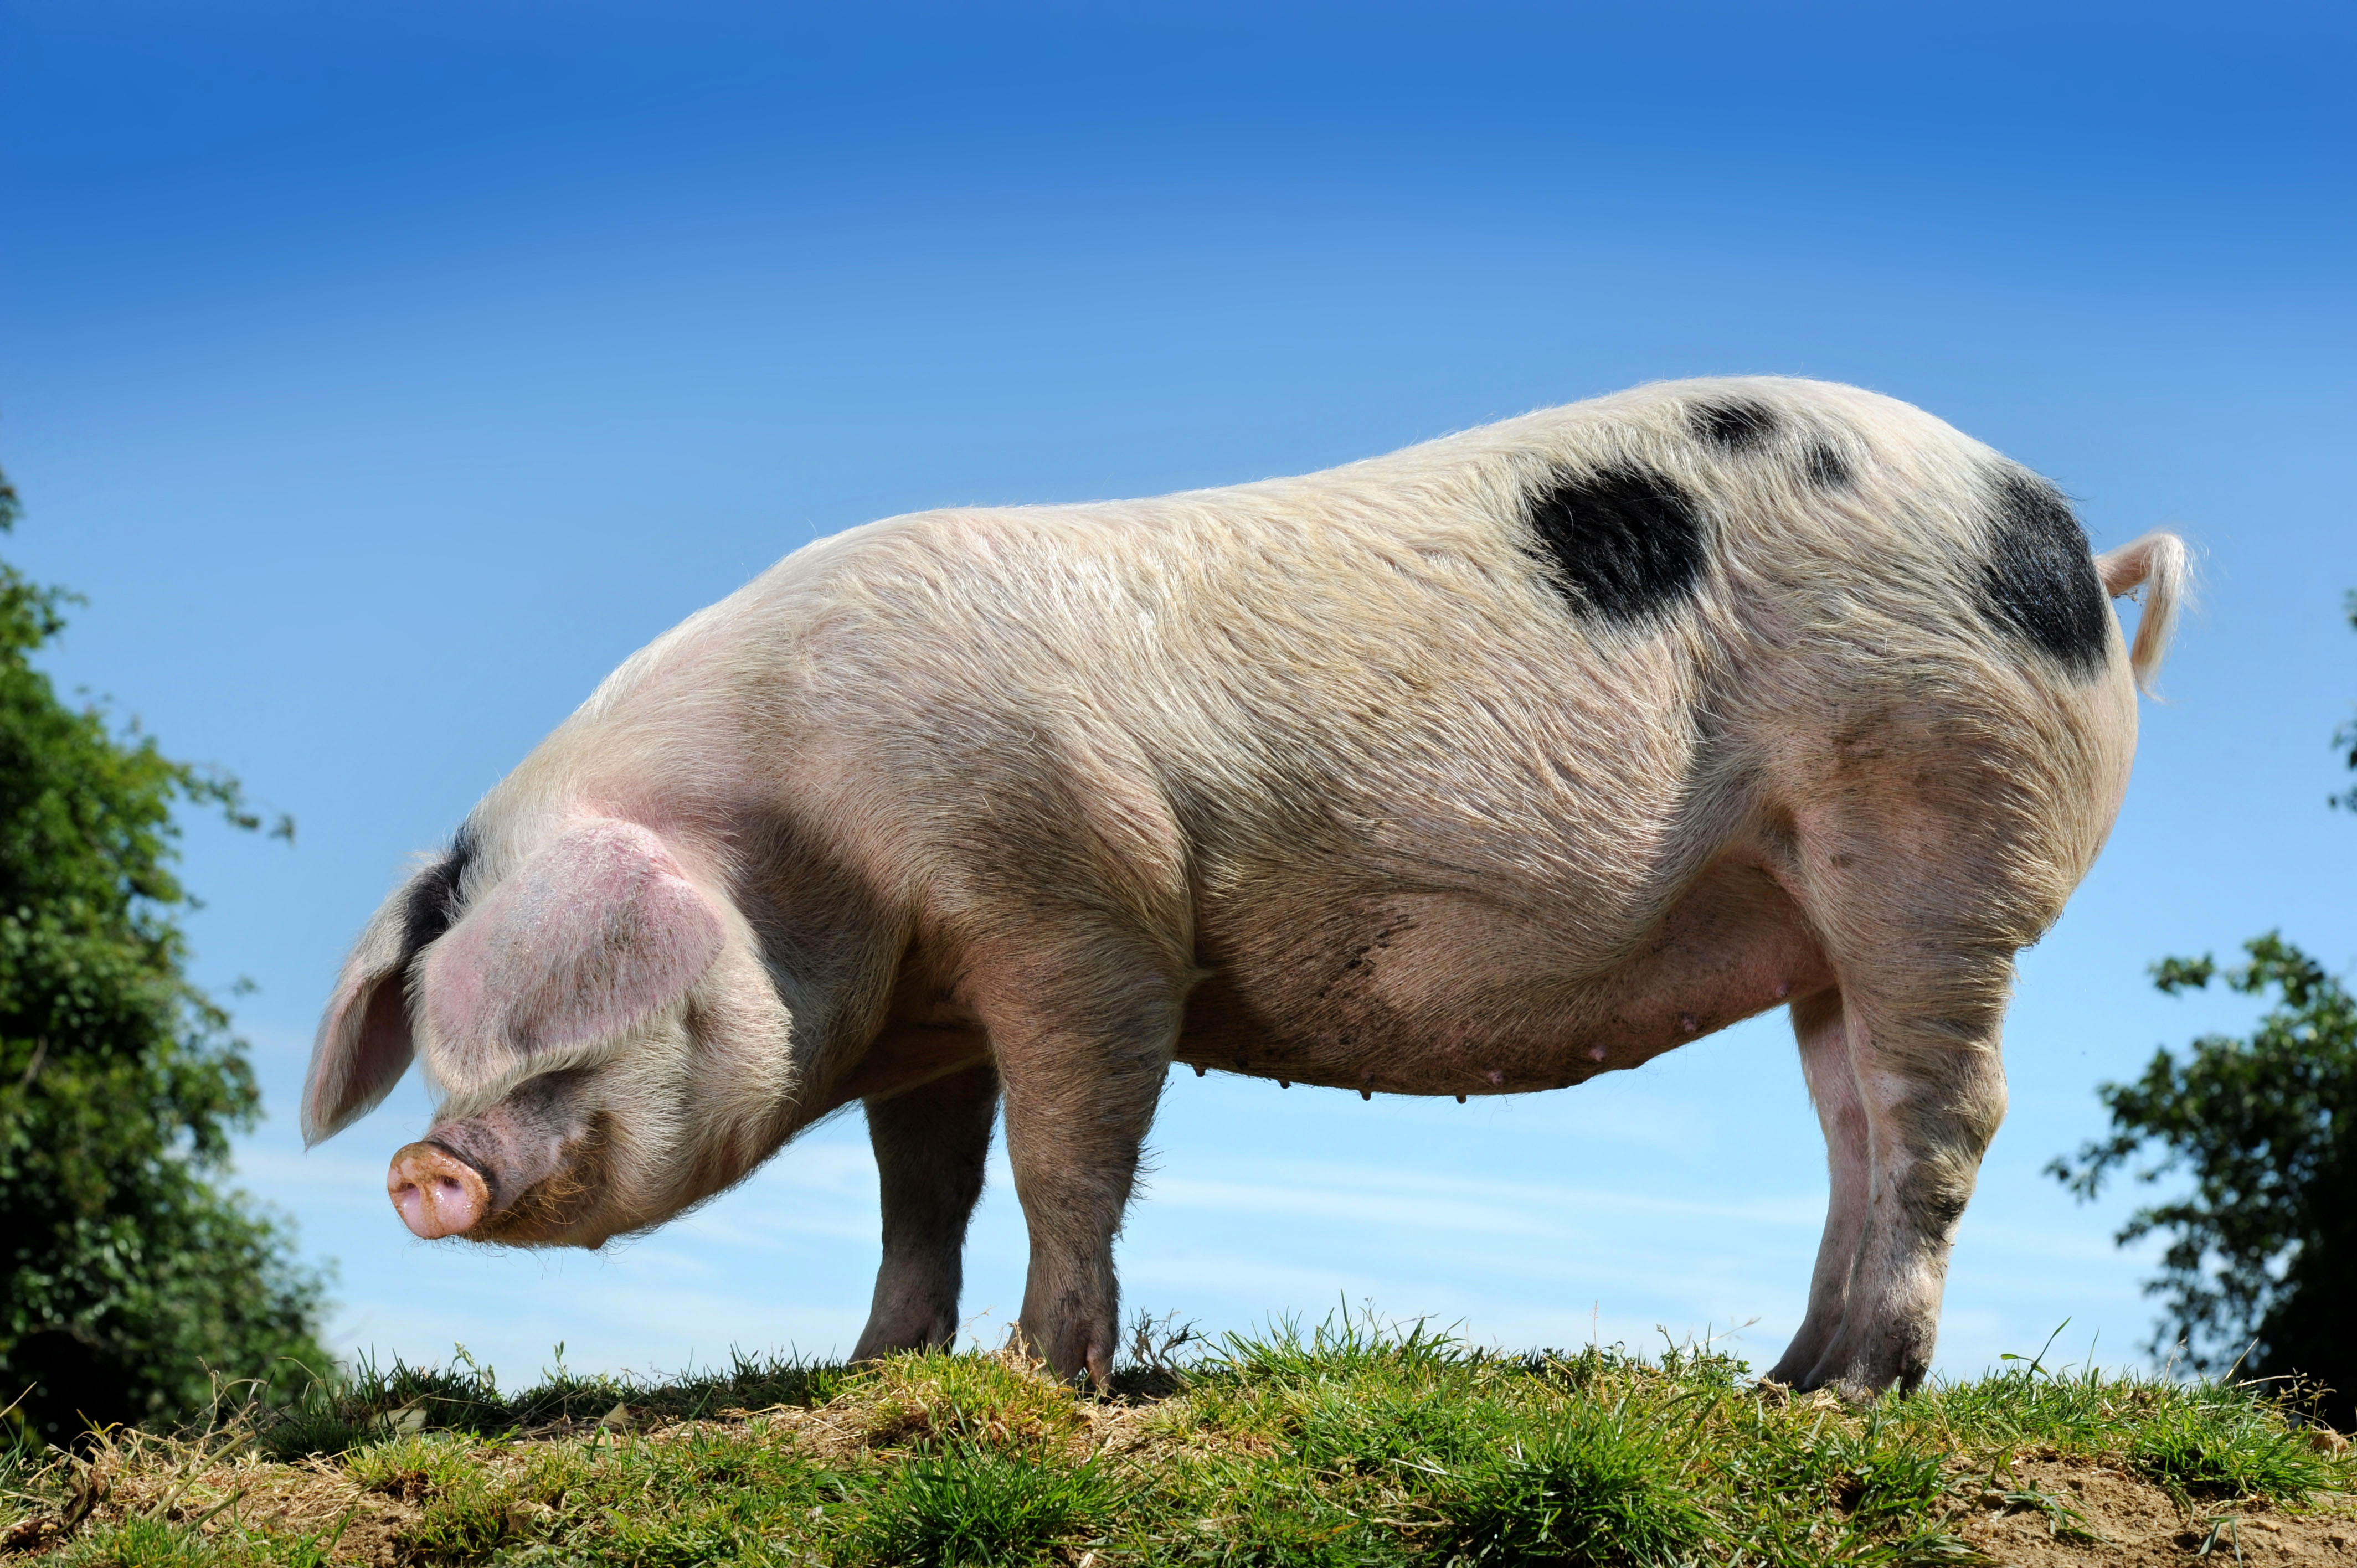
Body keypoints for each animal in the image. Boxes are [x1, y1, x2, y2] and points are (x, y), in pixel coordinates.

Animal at [304, 376, 2186, 1399]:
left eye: (564, 1043)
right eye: (444, 1054)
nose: (421, 1165)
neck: (815, 850)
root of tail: (2068, 558)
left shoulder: (1078, 898)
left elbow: (1067, 1153)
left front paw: (1042, 1376)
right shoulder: (932, 1003)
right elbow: (924, 1189)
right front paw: (876, 1366)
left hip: (1932, 827)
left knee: (1941, 1112)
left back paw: (1855, 1393)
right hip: (1815, 911)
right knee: (1848, 1123)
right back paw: (1778, 1375)